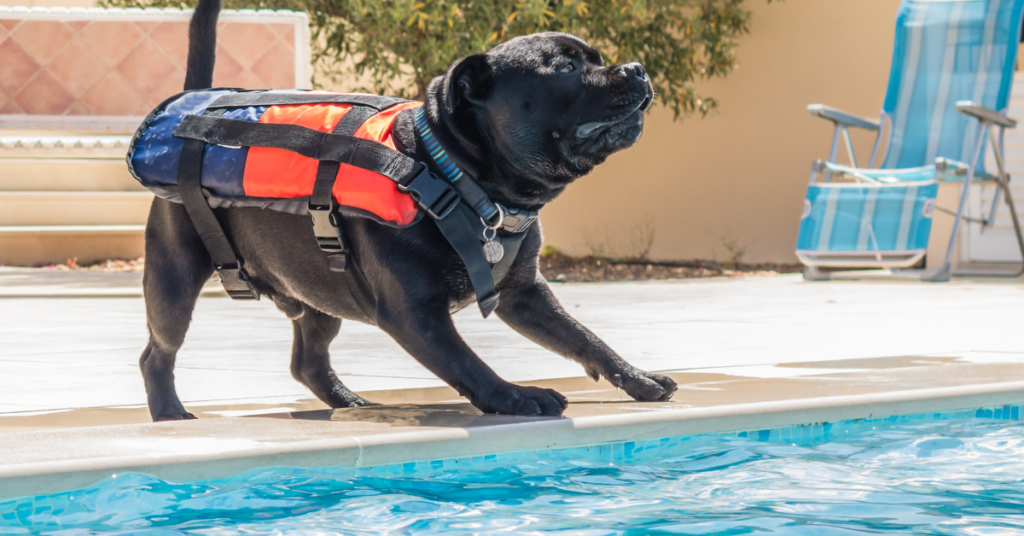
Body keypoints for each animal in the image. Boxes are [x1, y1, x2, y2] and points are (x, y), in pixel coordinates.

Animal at [140, 0, 675, 422]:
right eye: (565, 69)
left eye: (598, 59)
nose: (636, 67)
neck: (456, 177)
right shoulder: (415, 314)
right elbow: (466, 362)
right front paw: (516, 397)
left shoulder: (525, 294)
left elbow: (584, 338)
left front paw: (637, 377)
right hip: (174, 281)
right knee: (158, 354)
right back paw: (171, 414)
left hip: (319, 293)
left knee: (308, 361)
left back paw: (348, 401)